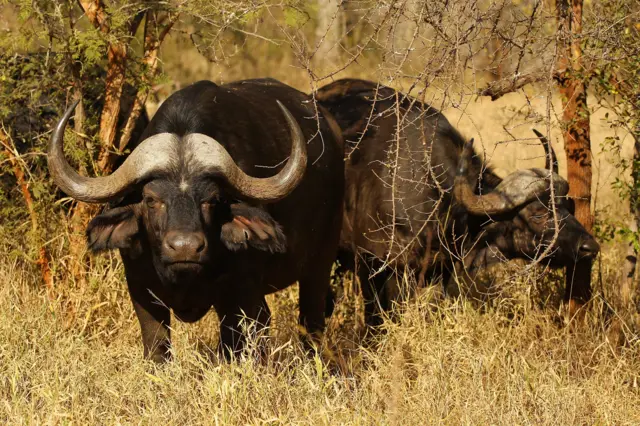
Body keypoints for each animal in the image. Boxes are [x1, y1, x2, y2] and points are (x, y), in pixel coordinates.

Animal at [48, 78, 344, 362]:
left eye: (212, 199)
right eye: (151, 199)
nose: (185, 248)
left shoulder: (242, 295)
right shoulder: (141, 289)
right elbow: (157, 345)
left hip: (320, 264)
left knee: (311, 321)